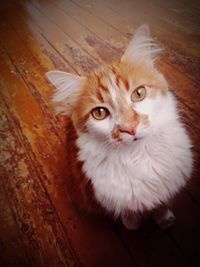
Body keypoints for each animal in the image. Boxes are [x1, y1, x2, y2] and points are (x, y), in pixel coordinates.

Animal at [45, 24, 192, 230]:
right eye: (99, 113)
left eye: (139, 93)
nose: (130, 128)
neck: (139, 157)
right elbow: (128, 209)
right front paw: (132, 222)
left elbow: (161, 203)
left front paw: (164, 218)